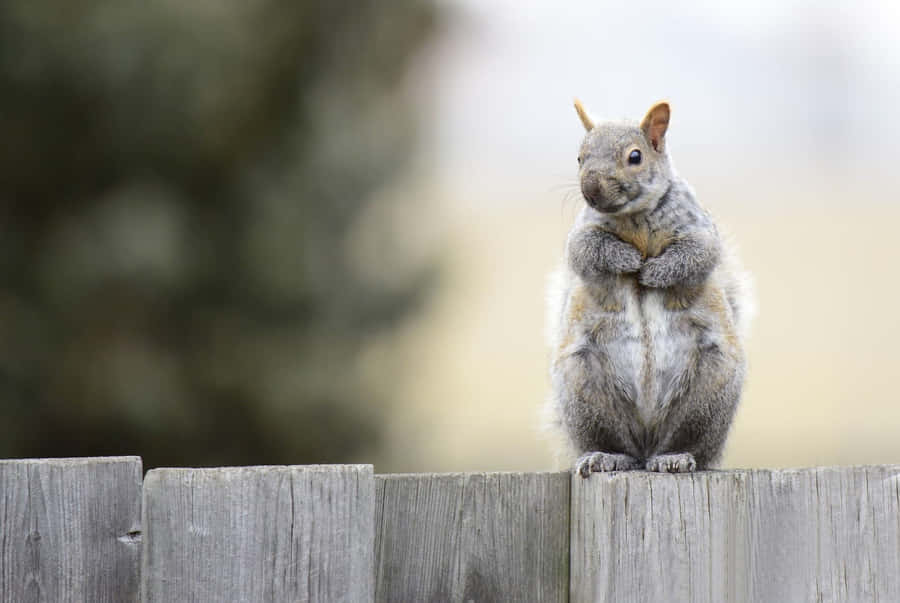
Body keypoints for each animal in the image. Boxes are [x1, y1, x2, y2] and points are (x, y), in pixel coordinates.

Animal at [546, 99, 753, 476]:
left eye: (635, 156)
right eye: (580, 157)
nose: (591, 189)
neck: (634, 219)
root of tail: (647, 440)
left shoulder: (699, 229)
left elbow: (698, 254)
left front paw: (654, 272)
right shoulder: (581, 234)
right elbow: (586, 250)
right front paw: (626, 259)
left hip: (709, 394)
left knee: (689, 445)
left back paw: (675, 456)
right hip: (584, 389)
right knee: (618, 445)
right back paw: (606, 456)